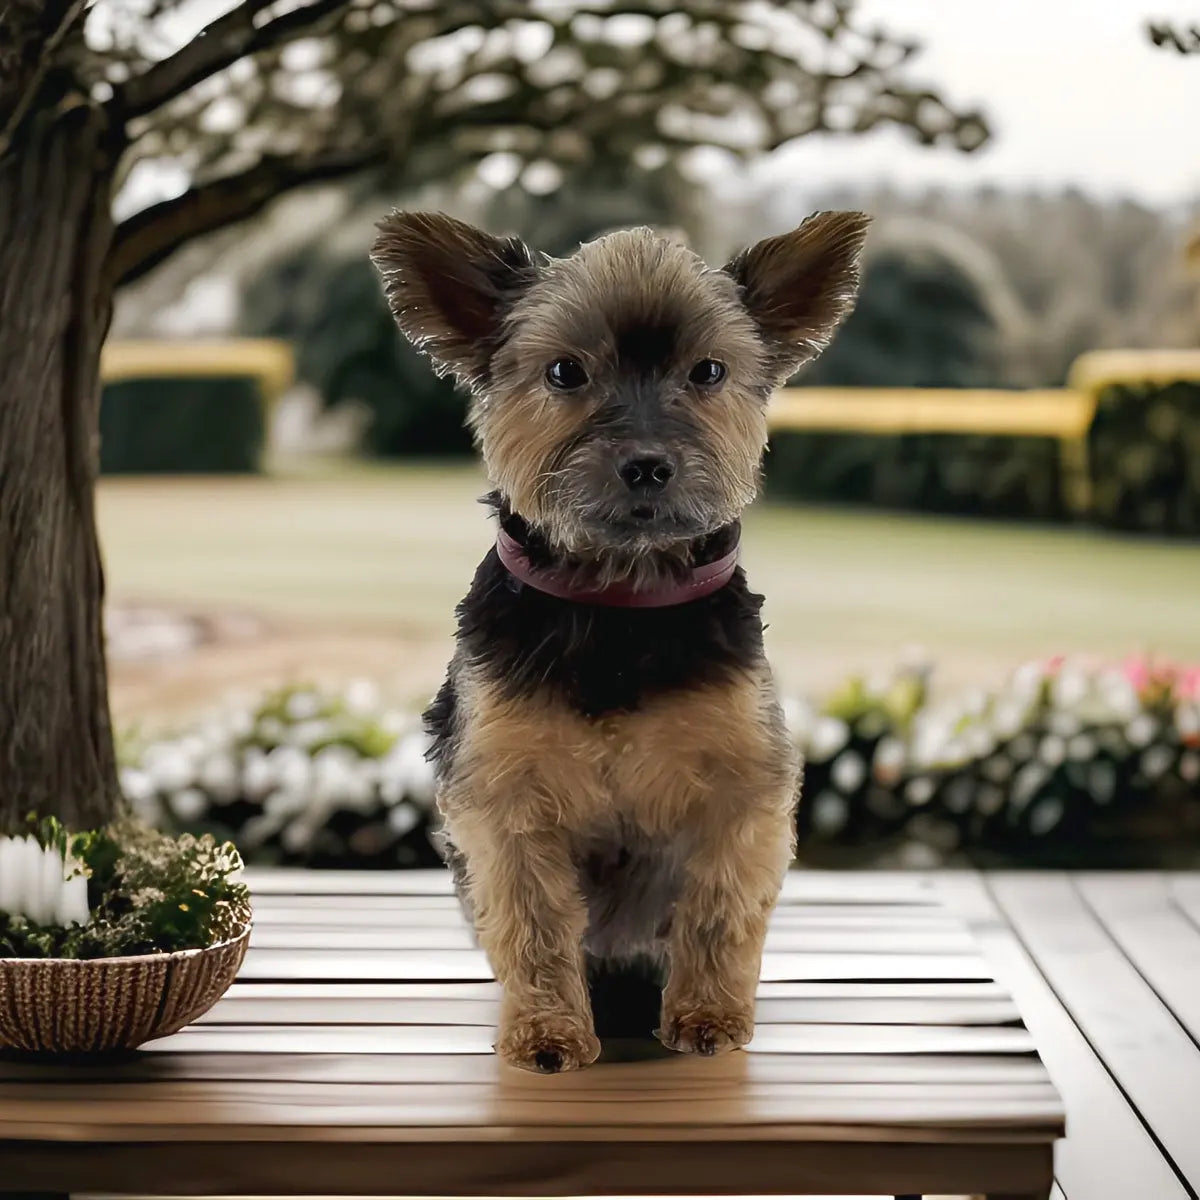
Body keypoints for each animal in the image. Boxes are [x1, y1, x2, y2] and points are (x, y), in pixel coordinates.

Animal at [369, 208, 868, 1080]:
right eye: (566, 372)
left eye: (708, 371)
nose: (647, 464)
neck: (620, 600)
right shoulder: (508, 797)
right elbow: (534, 923)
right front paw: (547, 1032)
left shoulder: (742, 787)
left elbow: (717, 907)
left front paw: (707, 1016)